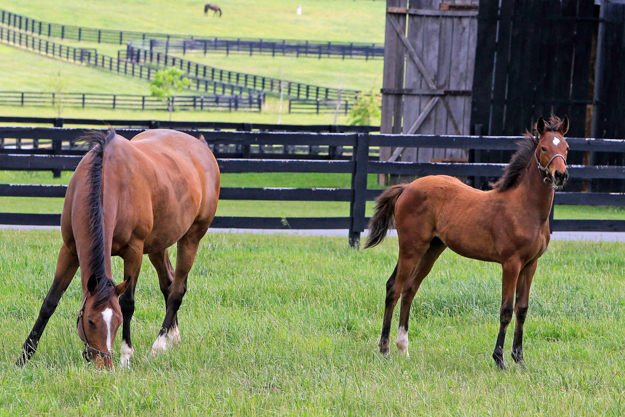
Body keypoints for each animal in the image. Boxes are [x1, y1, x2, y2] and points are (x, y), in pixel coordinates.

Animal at [16, 128, 219, 366]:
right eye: (90, 321)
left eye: (118, 322)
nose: (105, 364)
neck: (108, 178)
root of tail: (201, 146)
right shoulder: (70, 250)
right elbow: (50, 301)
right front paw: (24, 357)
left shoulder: (134, 251)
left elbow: (127, 303)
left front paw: (125, 357)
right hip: (159, 245)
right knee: (168, 284)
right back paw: (173, 337)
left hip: (191, 238)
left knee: (177, 291)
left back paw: (158, 346)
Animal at [366, 114, 572, 368]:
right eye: (544, 147)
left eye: (566, 147)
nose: (560, 175)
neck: (525, 207)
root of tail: (407, 187)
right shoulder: (511, 264)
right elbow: (506, 309)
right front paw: (499, 359)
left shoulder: (530, 264)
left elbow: (522, 309)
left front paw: (520, 360)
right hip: (411, 248)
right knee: (394, 288)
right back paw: (385, 348)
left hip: (432, 249)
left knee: (410, 289)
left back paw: (403, 348)